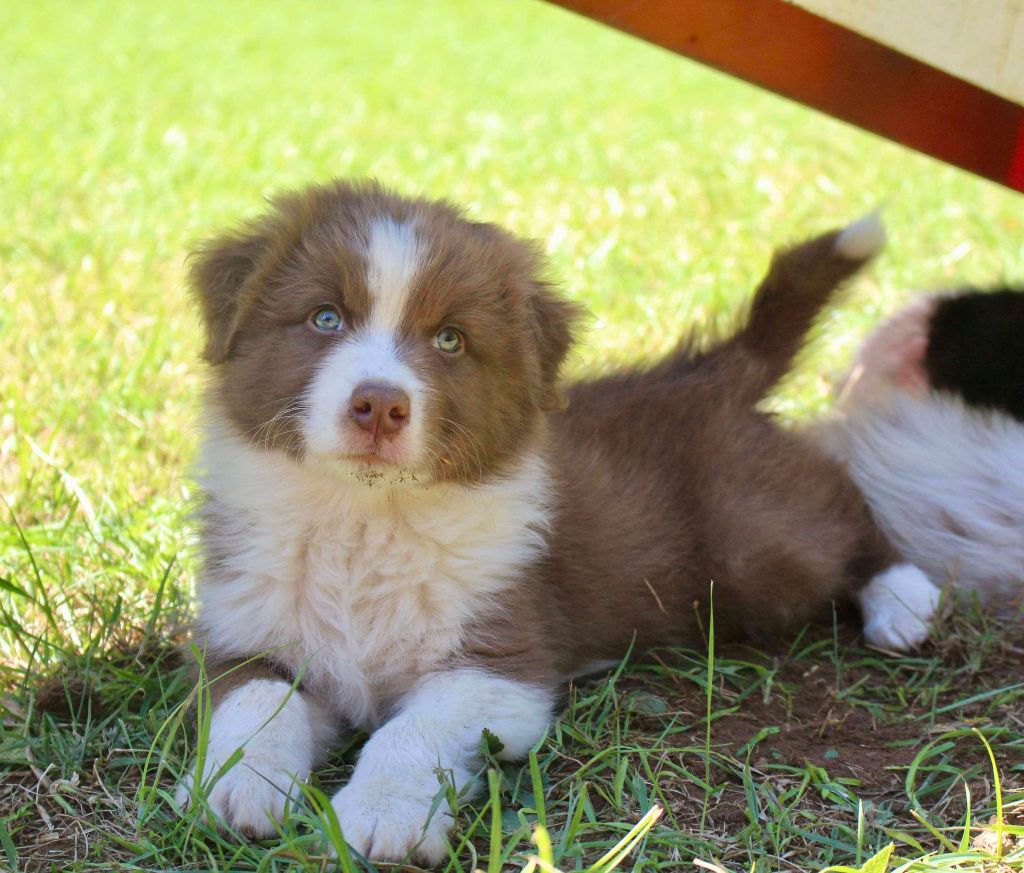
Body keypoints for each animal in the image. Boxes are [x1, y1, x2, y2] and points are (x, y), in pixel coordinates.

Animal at [176, 180, 938, 863]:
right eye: (325, 319)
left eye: (450, 340)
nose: (380, 406)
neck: (364, 518)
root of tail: (712, 372)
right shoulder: (242, 632)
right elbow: (255, 700)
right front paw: (235, 786)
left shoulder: (502, 662)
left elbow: (411, 730)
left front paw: (381, 816)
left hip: (762, 541)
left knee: (848, 509)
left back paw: (902, 598)